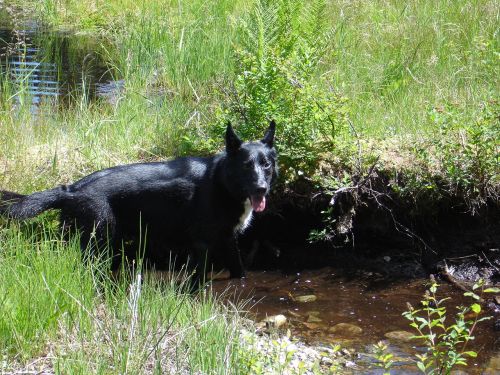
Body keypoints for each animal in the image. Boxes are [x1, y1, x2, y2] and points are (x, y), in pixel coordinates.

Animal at [0, 122, 278, 284]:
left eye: (266, 164)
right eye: (246, 165)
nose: (261, 189)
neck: (222, 182)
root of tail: (70, 190)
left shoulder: (228, 241)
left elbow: (239, 271)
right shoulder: (201, 245)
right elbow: (198, 279)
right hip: (98, 242)